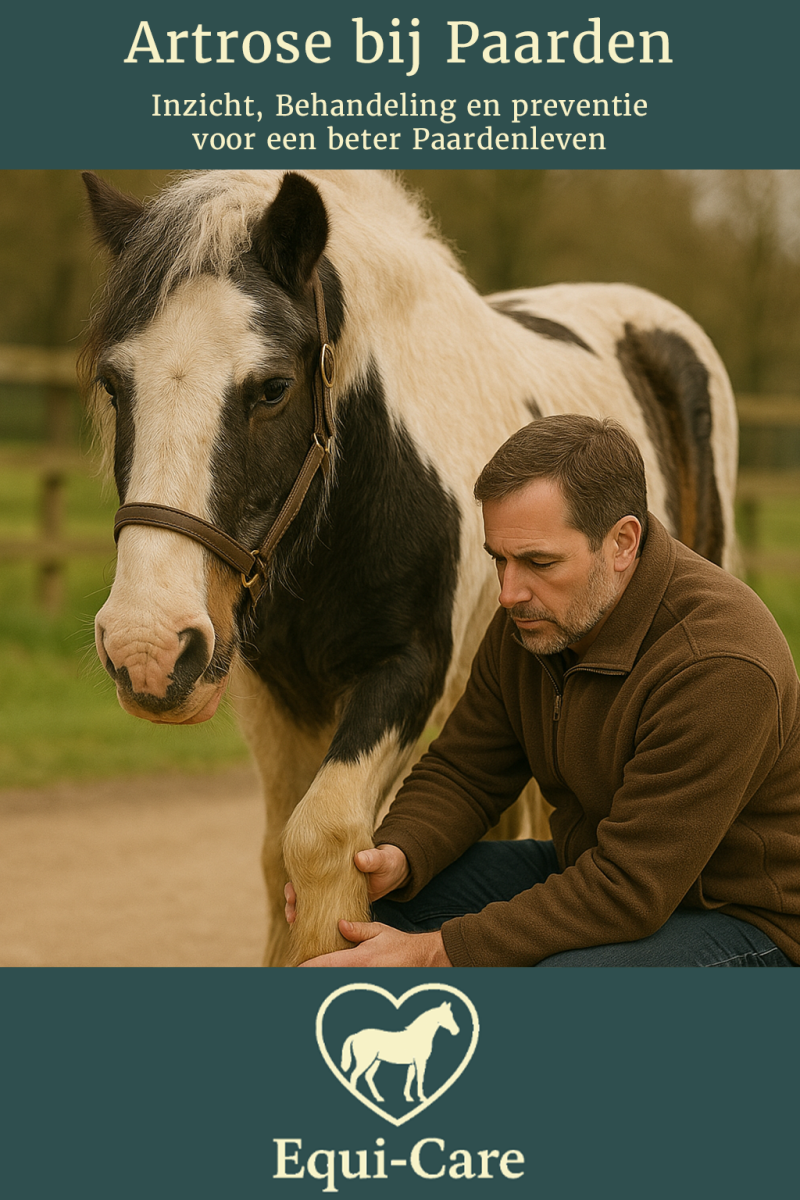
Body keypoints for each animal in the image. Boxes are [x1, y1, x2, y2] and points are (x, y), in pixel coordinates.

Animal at [80, 169, 739, 967]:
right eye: (114, 384)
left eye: (272, 387)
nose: (145, 649)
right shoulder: (272, 696)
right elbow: (278, 857)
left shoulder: (410, 671)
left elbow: (321, 841)